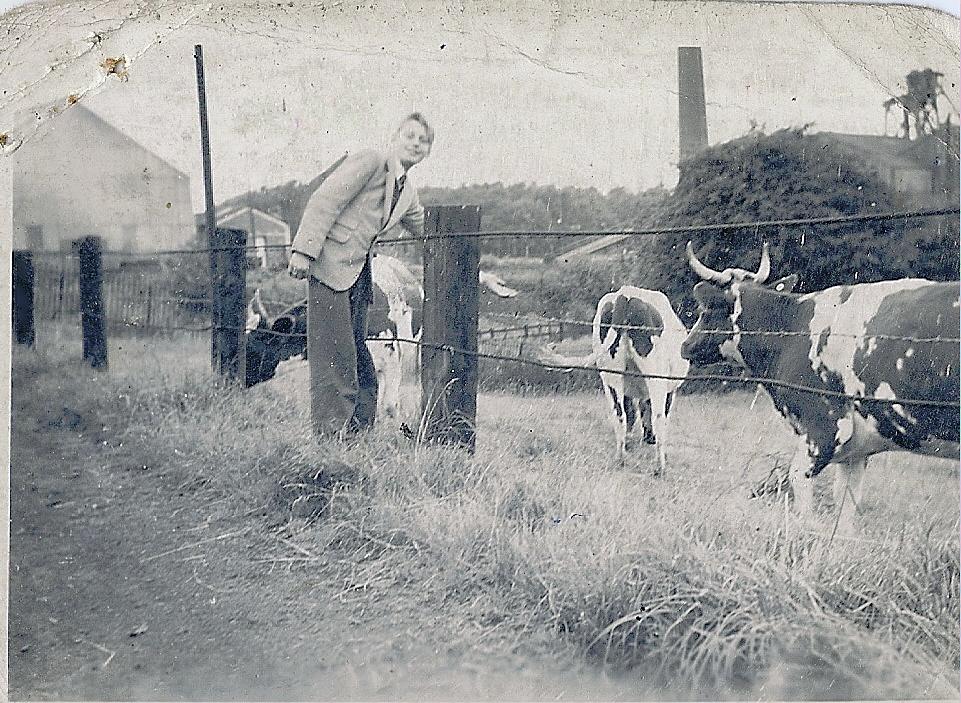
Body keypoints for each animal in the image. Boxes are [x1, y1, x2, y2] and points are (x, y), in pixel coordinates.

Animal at [540, 288, 688, 478]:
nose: (649, 439)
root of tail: (625, 294)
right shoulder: (670, 390)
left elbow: (632, 414)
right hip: (656, 375)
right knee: (658, 417)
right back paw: (659, 467)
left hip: (610, 375)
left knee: (620, 416)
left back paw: (620, 459)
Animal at [684, 242, 960, 528]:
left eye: (705, 311)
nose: (685, 345)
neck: (790, 328)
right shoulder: (855, 450)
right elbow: (846, 506)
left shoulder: (825, 427)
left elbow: (798, 482)